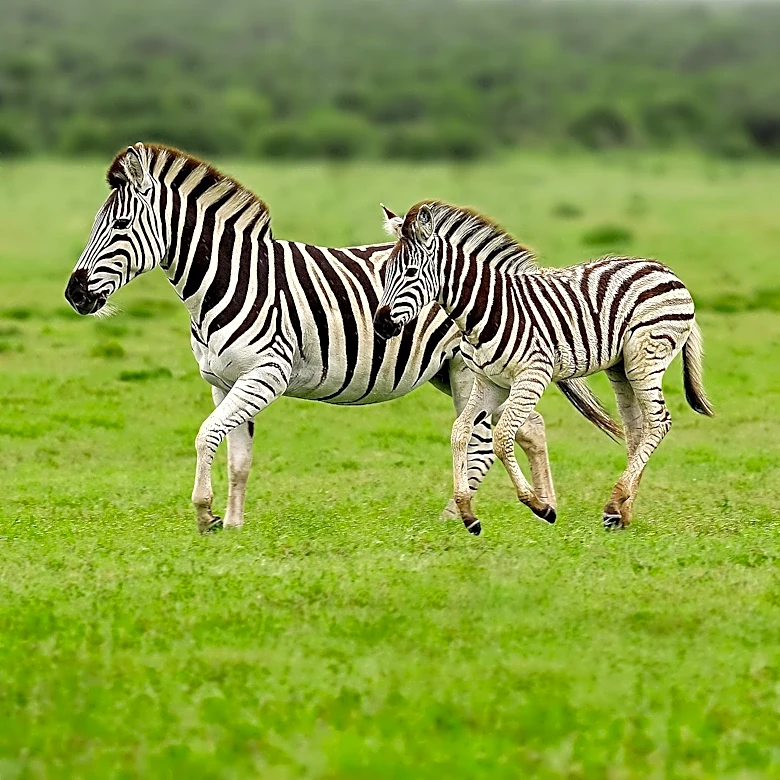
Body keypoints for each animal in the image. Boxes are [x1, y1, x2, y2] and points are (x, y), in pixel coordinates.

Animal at [64, 143, 620, 533]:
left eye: (120, 225)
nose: (74, 294)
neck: (228, 279)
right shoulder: (224, 382)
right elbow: (237, 456)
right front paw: (236, 526)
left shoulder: (264, 374)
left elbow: (205, 435)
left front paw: (205, 516)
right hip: (468, 371)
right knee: (530, 428)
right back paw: (540, 504)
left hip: (469, 370)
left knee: (486, 436)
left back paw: (454, 516)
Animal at [374, 200, 713, 535]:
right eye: (385, 271)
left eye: (411, 272)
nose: (380, 325)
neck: (485, 311)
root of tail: (663, 269)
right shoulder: (487, 381)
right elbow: (460, 432)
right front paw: (467, 511)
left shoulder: (532, 376)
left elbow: (501, 438)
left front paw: (540, 506)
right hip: (620, 367)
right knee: (636, 429)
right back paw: (621, 512)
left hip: (646, 357)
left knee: (658, 422)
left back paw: (616, 499)